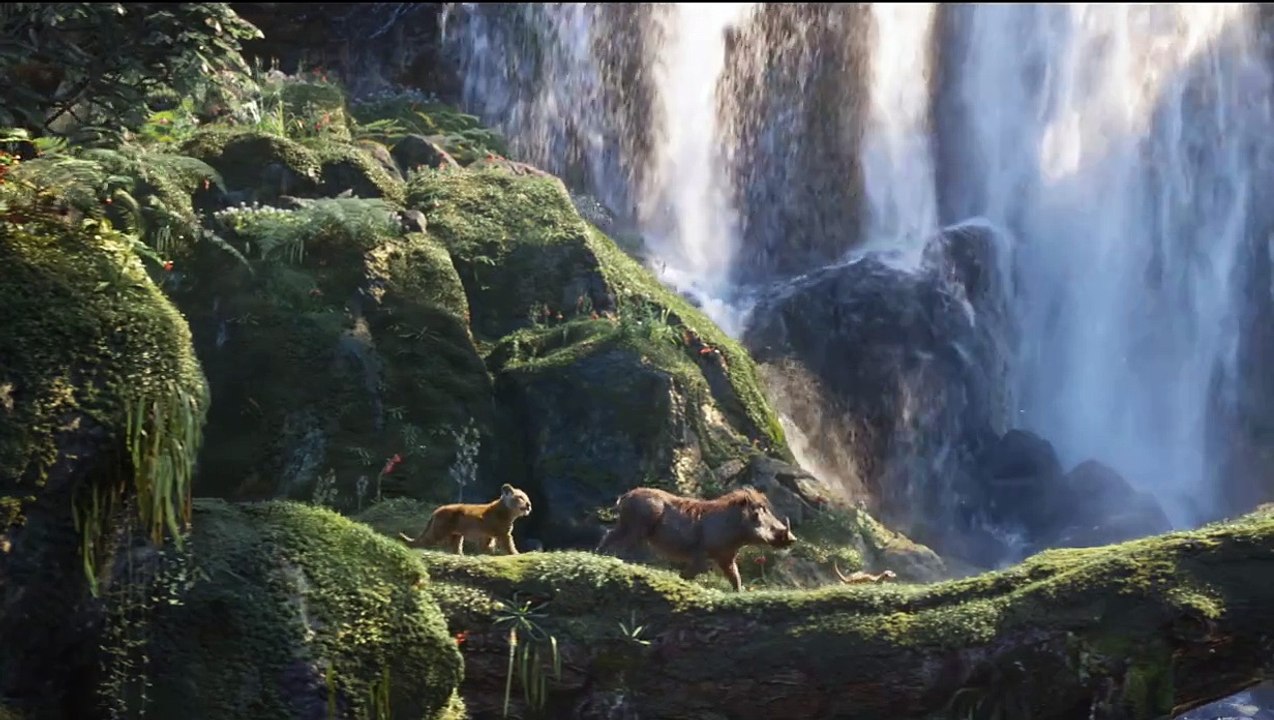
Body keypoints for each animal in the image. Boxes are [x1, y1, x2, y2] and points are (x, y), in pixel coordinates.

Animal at [398, 484, 533, 555]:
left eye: (526, 497)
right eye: (520, 497)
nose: (529, 505)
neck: (509, 512)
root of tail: (437, 510)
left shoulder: (487, 535)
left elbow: (486, 545)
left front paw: (486, 553)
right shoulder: (503, 534)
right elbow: (510, 545)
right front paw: (516, 554)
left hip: (456, 535)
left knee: (455, 547)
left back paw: (460, 555)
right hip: (439, 532)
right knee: (424, 541)